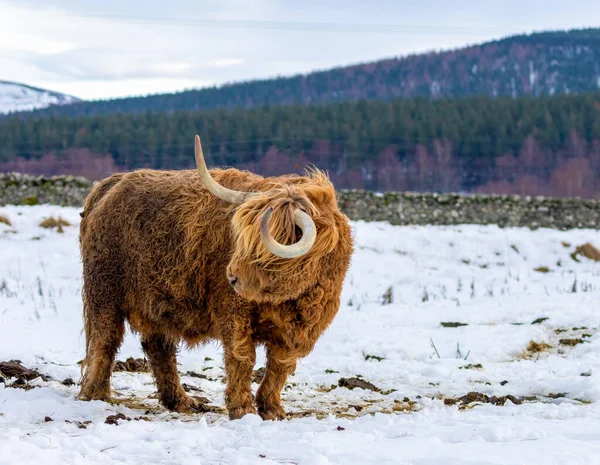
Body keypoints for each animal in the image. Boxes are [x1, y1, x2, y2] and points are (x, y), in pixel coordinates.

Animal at [77, 135, 354, 420]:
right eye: (240, 240)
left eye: (264, 250)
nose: (231, 277)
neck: (287, 299)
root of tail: (113, 183)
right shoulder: (233, 313)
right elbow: (242, 356)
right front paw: (242, 409)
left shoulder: (300, 330)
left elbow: (279, 365)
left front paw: (272, 409)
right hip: (105, 290)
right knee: (105, 338)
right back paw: (96, 394)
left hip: (157, 298)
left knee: (159, 346)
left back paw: (181, 401)